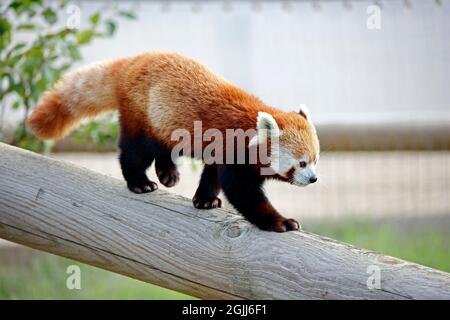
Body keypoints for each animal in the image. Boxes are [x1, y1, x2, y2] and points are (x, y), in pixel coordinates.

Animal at [28, 52, 320, 232]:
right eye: (301, 163)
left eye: (316, 160)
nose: (314, 179)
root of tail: (132, 62)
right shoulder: (233, 152)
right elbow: (242, 191)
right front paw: (280, 222)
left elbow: (212, 175)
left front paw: (205, 199)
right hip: (142, 115)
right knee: (135, 152)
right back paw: (140, 182)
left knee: (164, 147)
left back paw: (167, 171)